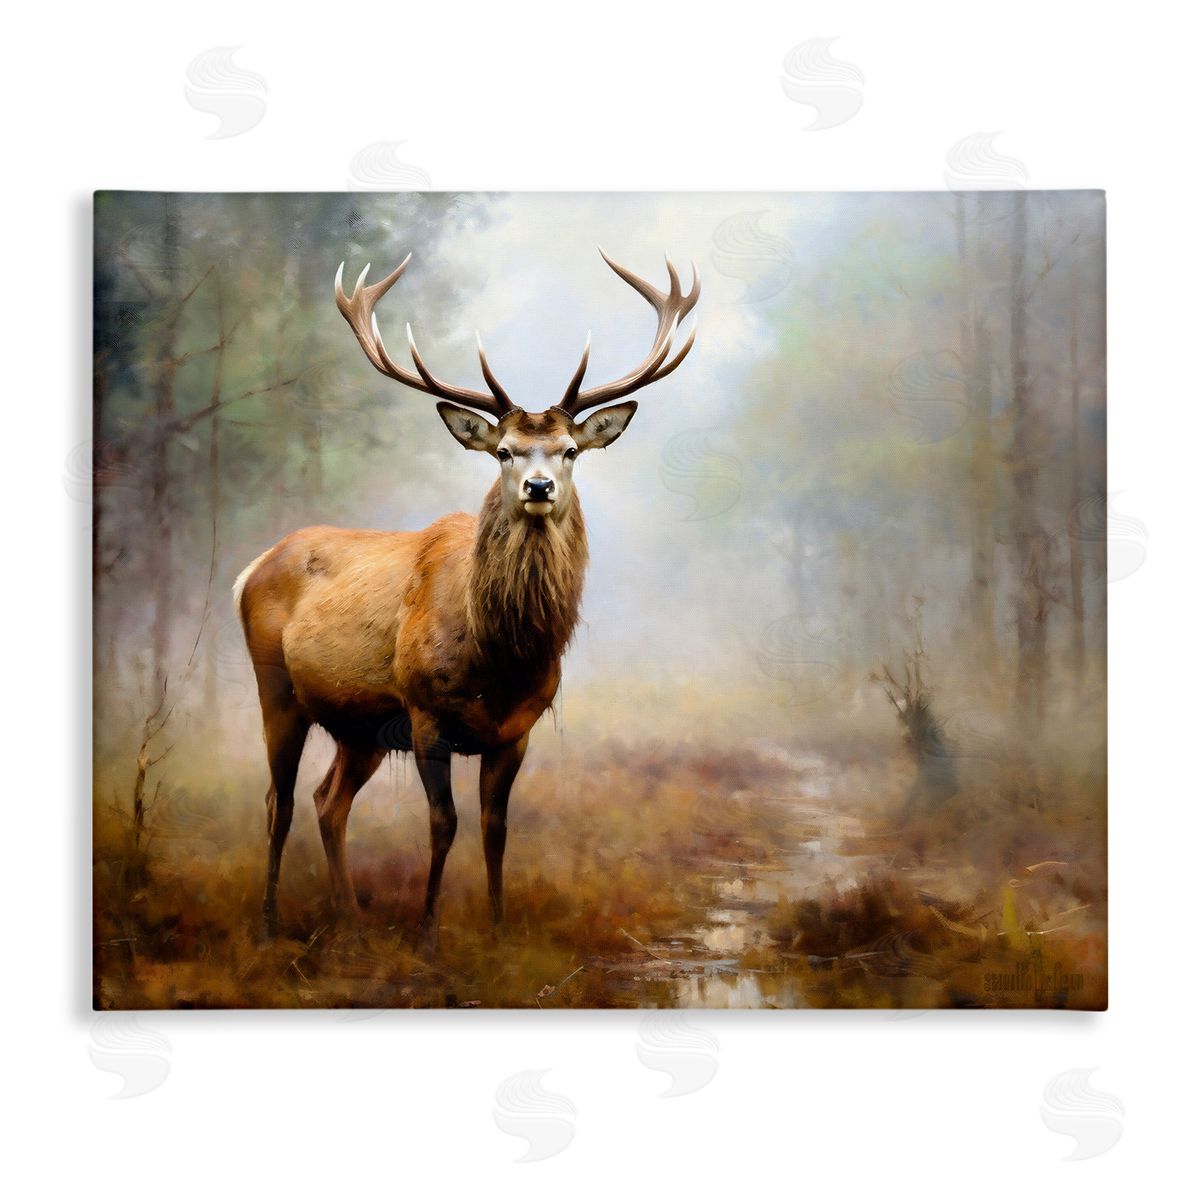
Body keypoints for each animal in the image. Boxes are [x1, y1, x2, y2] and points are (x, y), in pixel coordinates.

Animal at [235, 248, 699, 946]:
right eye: (503, 451)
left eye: (570, 450)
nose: (538, 486)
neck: (499, 661)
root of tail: (252, 567)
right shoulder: (426, 714)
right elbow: (442, 823)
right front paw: (427, 931)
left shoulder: (516, 729)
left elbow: (496, 828)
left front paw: (499, 926)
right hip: (277, 687)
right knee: (279, 800)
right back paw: (268, 921)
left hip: (361, 725)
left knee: (328, 800)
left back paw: (351, 914)